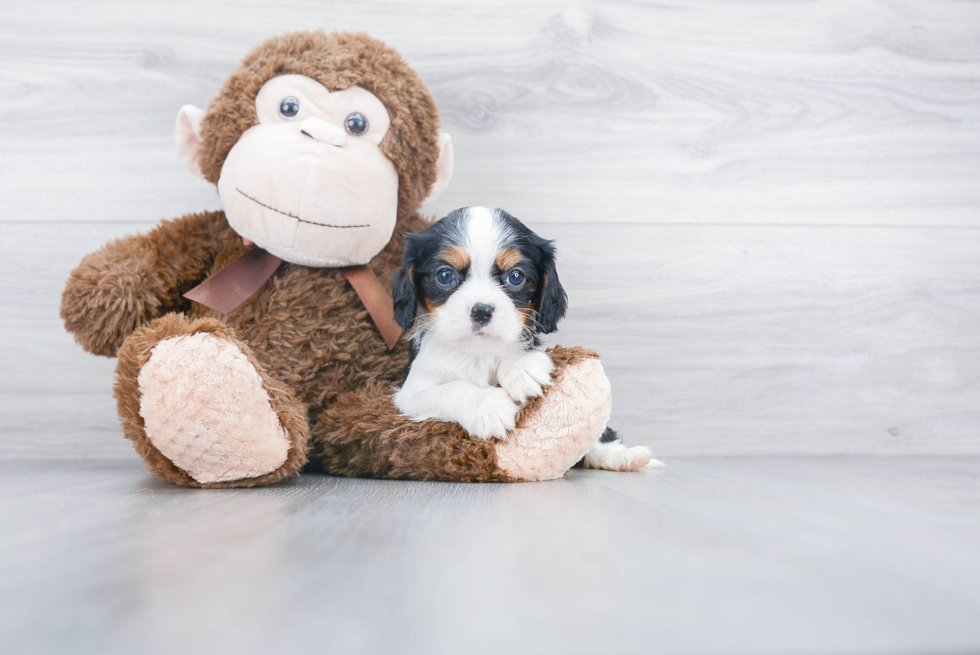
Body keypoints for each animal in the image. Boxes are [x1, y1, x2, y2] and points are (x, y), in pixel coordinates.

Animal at [390, 206, 660, 472]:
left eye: (516, 277)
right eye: (445, 275)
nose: (481, 311)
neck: (478, 352)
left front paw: (521, 368)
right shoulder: (409, 394)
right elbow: (450, 389)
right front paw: (487, 406)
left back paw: (622, 456)